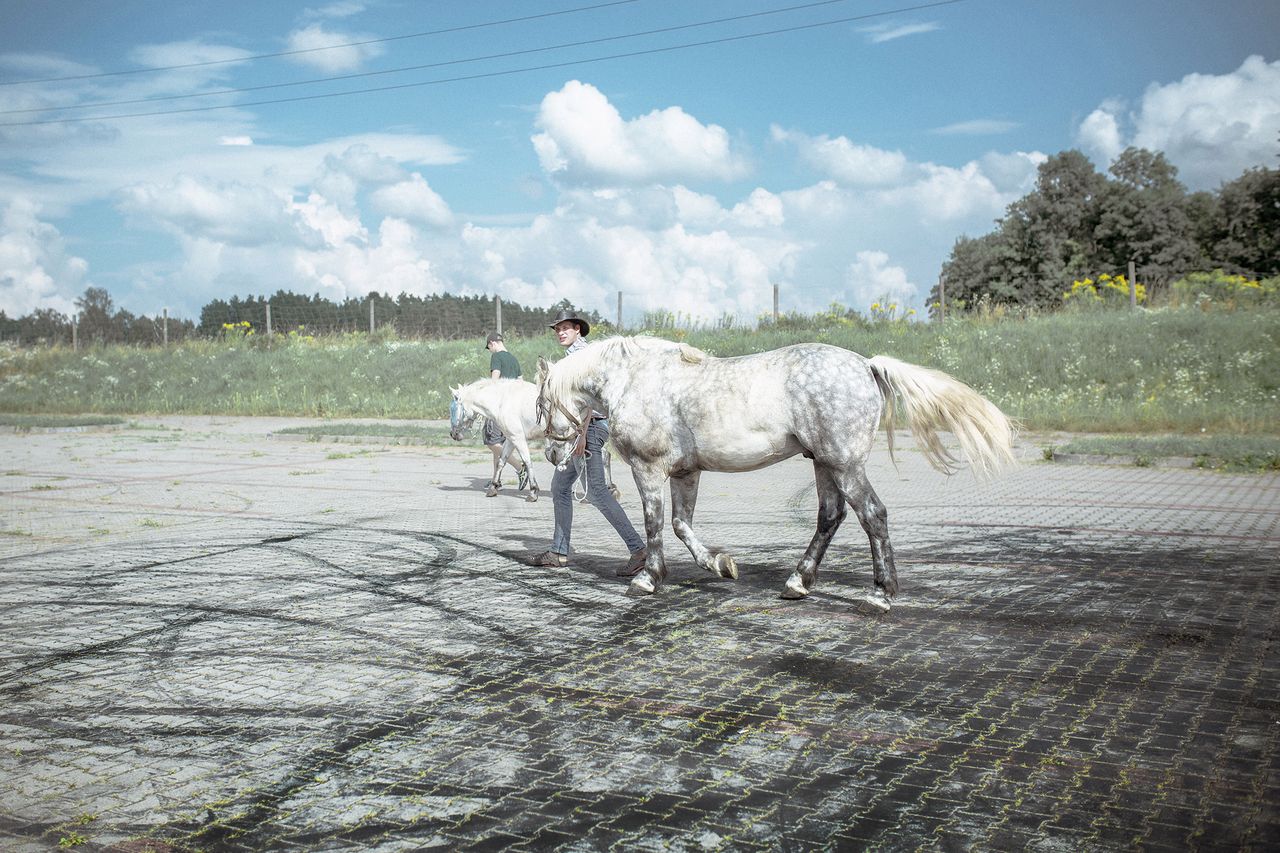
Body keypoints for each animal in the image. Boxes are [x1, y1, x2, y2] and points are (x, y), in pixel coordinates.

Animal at [535, 335, 1013, 607]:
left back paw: (879, 594)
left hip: (844, 463)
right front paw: (720, 564)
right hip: (824, 464)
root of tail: (866, 365)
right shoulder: (686, 472)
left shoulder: (649, 469)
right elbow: (681, 525)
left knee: (872, 515)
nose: (555, 457)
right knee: (830, 517)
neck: (635, 379)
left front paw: (648, 579)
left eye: (539, 403)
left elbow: (654, 525)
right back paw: (798, 582)